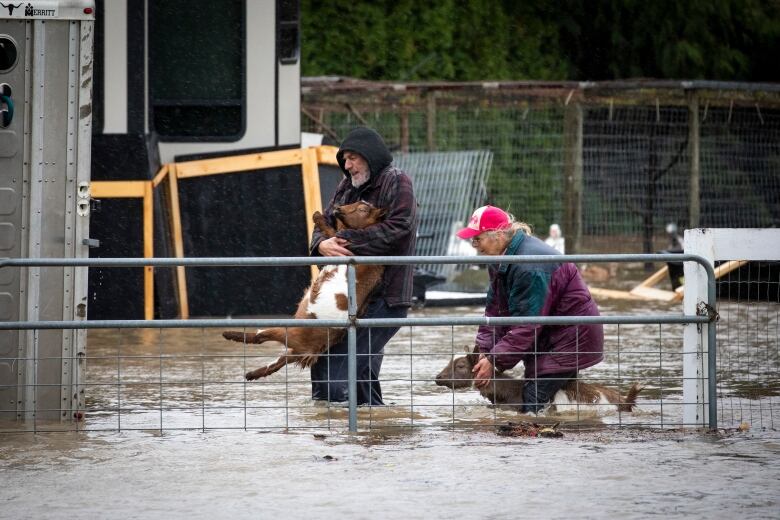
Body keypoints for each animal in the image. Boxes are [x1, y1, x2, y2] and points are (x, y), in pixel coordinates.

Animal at [222, 201, 386, 380]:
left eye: (363, 209)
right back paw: (252, 374)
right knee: (276, 363)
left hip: (287, 331)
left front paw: (317, 216)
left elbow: (332, 231)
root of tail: (310, 350)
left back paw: (229, 334)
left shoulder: (345, 249)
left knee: (260, 337)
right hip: (293, 352)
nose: (338, 208)